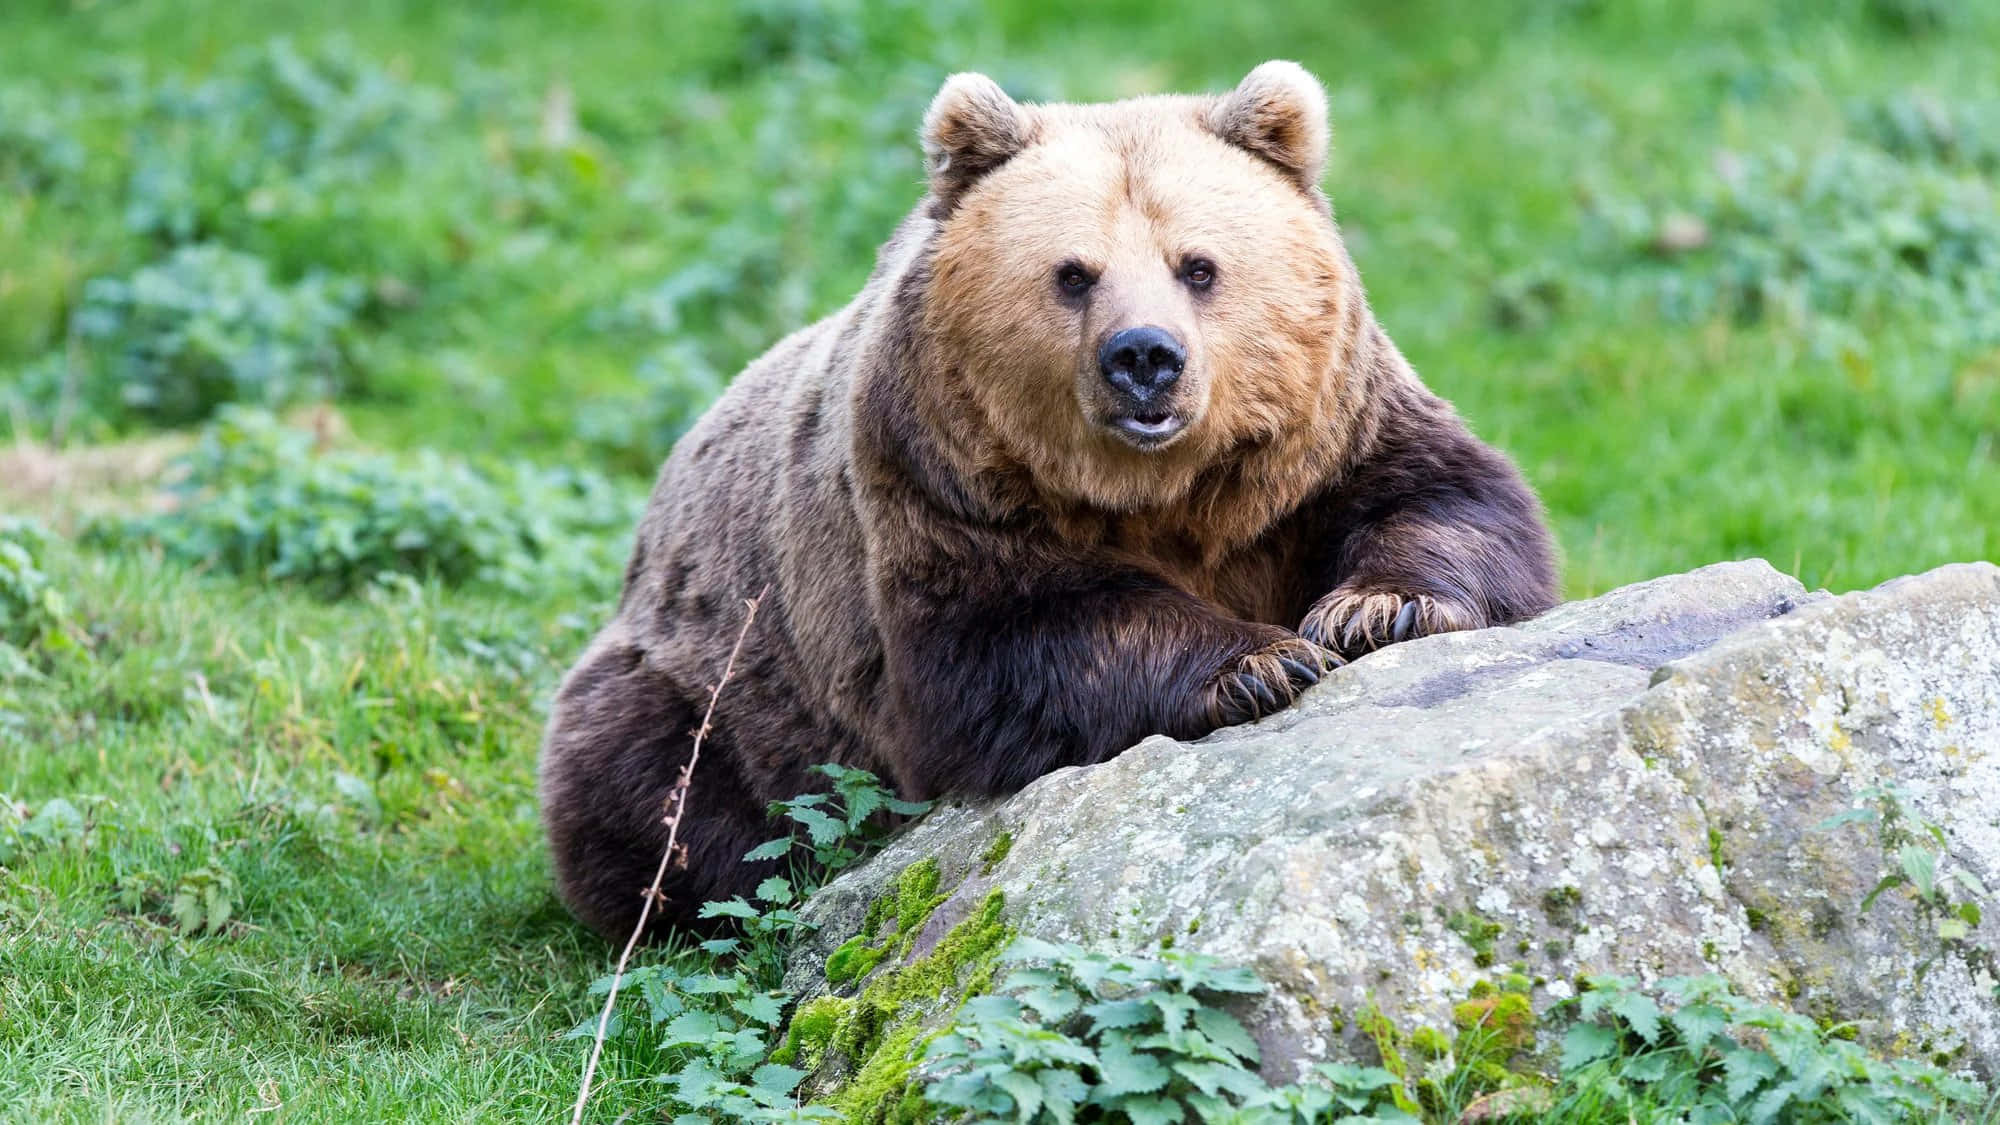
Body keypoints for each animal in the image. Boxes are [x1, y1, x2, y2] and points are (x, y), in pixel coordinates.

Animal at [539, 61, 1558, 943]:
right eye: (1074, 272)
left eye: (1198, 265)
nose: (1144, 357)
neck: (1158, 491)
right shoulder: (942, 492)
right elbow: (1019, 637)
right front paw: (1261, 662)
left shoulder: (1325, 440)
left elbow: (1447, 498)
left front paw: (1375, 608)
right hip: (716, 679)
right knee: (656, 789)